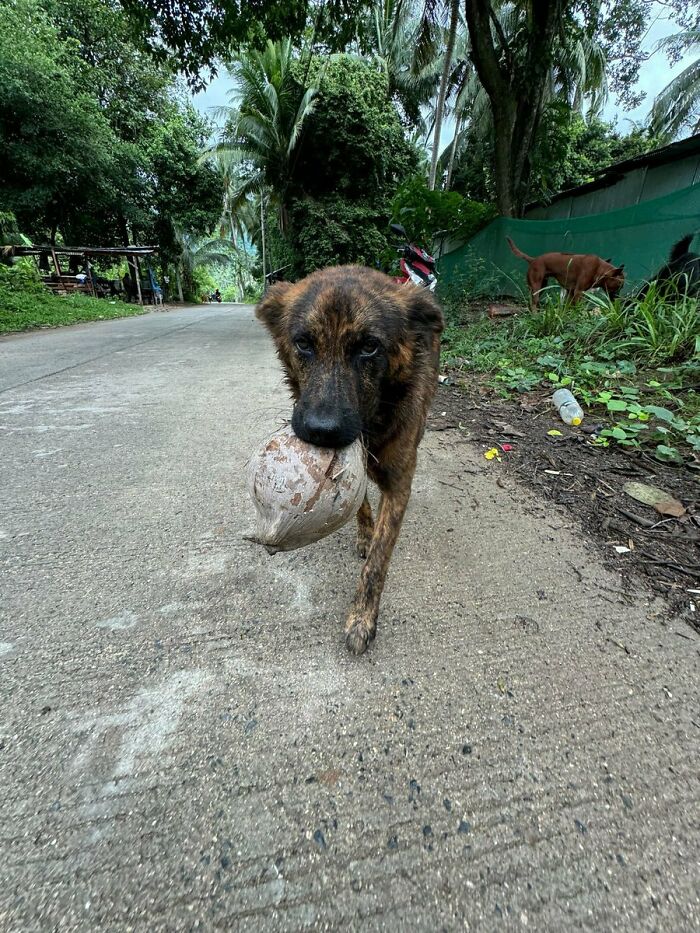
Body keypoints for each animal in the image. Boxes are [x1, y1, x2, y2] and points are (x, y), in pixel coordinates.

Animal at [256, 264, 442, 656]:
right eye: (304, 343)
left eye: (369, 346)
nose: (322, 431)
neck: (372, 423)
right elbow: (360, 503)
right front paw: (364, 533)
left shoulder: (400, 484)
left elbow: (378, 563)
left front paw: (362, 618)